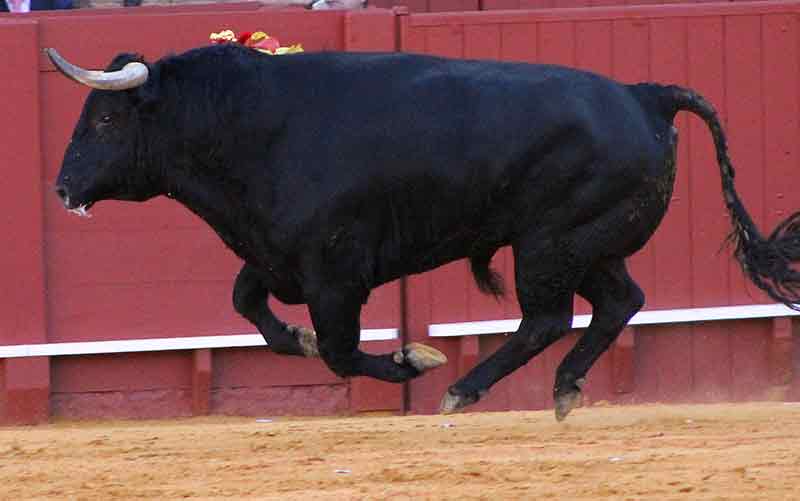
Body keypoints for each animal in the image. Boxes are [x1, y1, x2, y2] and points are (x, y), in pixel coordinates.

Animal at [47, 45, 800, 418]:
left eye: (106, 120)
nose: (61, 188)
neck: (243, 121)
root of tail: (646, 96)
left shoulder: (335, 273)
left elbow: (341, 352)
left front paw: (416, 362)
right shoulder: (276, 253)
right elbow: (251, 308)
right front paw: (296, 338)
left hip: (548, 244)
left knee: (548, 318)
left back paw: (464, 389)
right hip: (587, 244)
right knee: (620, 302)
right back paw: (563, 389)